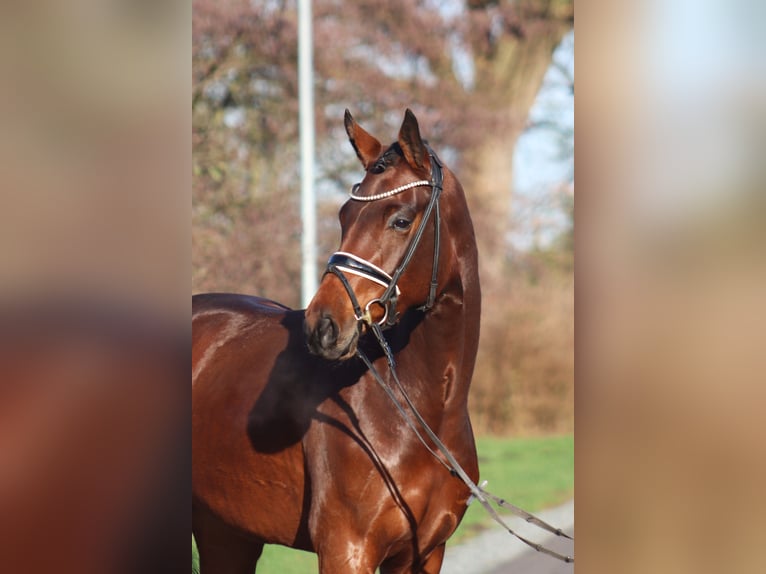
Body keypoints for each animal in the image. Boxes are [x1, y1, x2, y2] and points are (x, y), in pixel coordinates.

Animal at [192, 109, 480, 574]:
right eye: (345, 215)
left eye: (401, 220)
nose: (322, 324)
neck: (423, 413)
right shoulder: (346, 549)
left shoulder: (425, 553)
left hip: (227, 534)